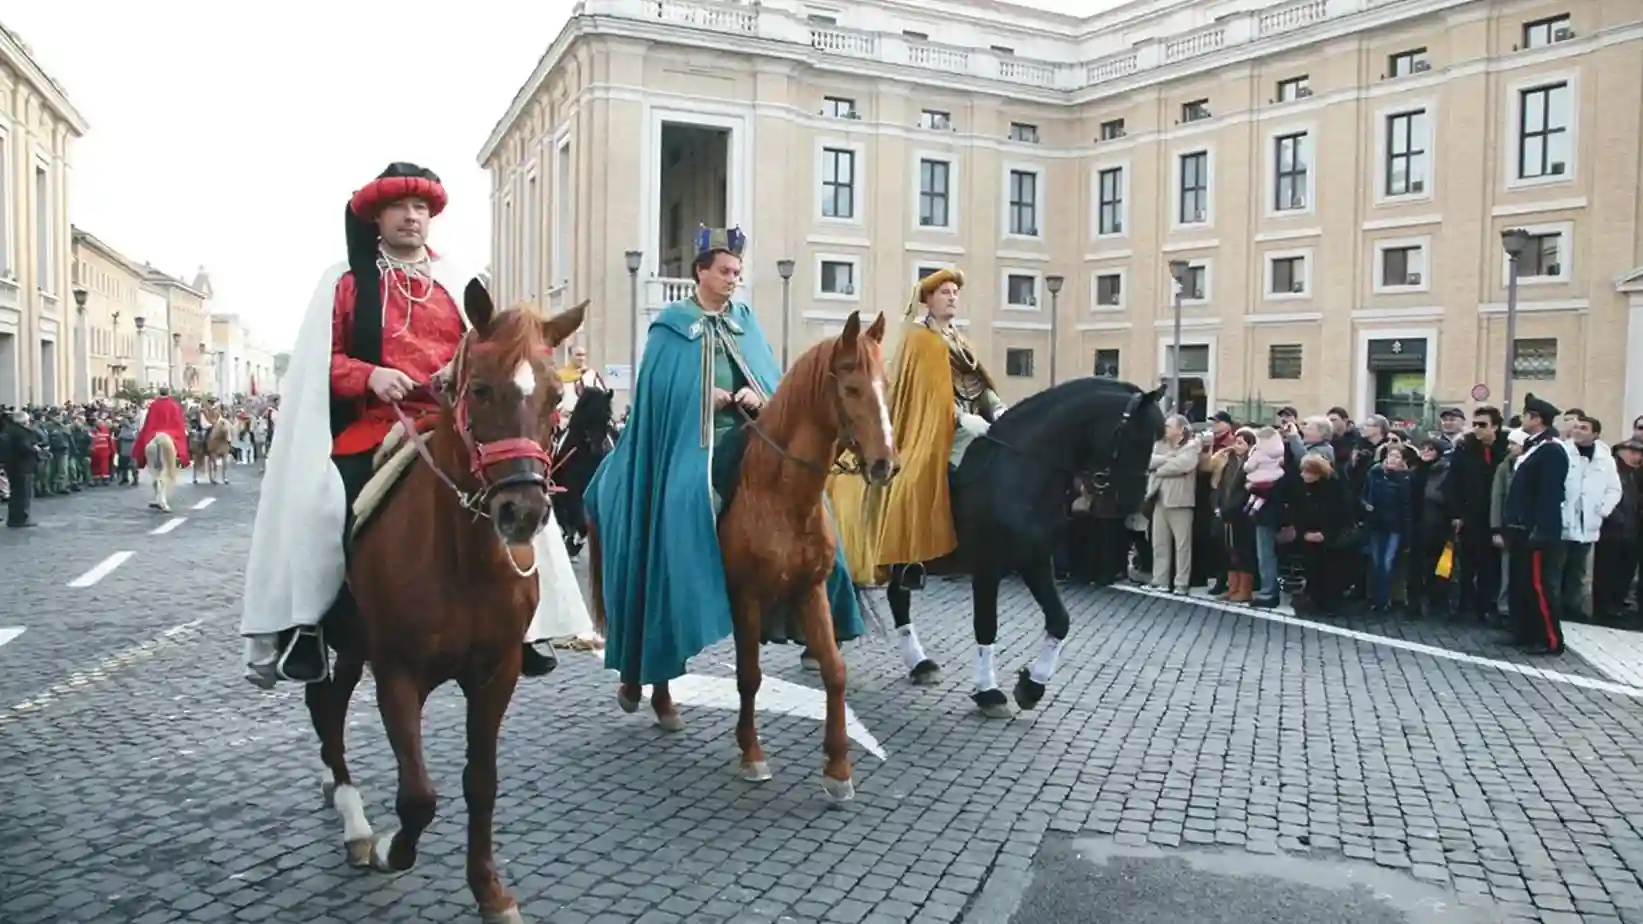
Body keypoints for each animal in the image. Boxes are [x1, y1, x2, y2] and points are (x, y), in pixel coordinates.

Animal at [305, 282, 588, 920]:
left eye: (557, 395)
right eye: (480, 388)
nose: (523, 512)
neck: (462, 561)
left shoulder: (495, 673)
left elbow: (480, 782)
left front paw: (489, 890)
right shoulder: (397, 675)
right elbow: (418, 796)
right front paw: (393, 848)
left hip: (354, 647)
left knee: (330, 706)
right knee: (322, 707)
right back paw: (356, 822)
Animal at [552, 386, 617, 559]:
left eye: (607, 417)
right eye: (589, 418)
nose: (598, 449)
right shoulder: (571, 490)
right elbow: (578, 522)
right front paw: (572, 545)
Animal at [719, 309, 900, 799]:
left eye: (886, 384)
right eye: (852, 388)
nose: (886, 464)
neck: (779, 496)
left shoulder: (810, 590)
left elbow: (835, 671)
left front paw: (838, 769)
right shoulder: (746, 597)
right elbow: (749, 675)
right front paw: (751, 752)